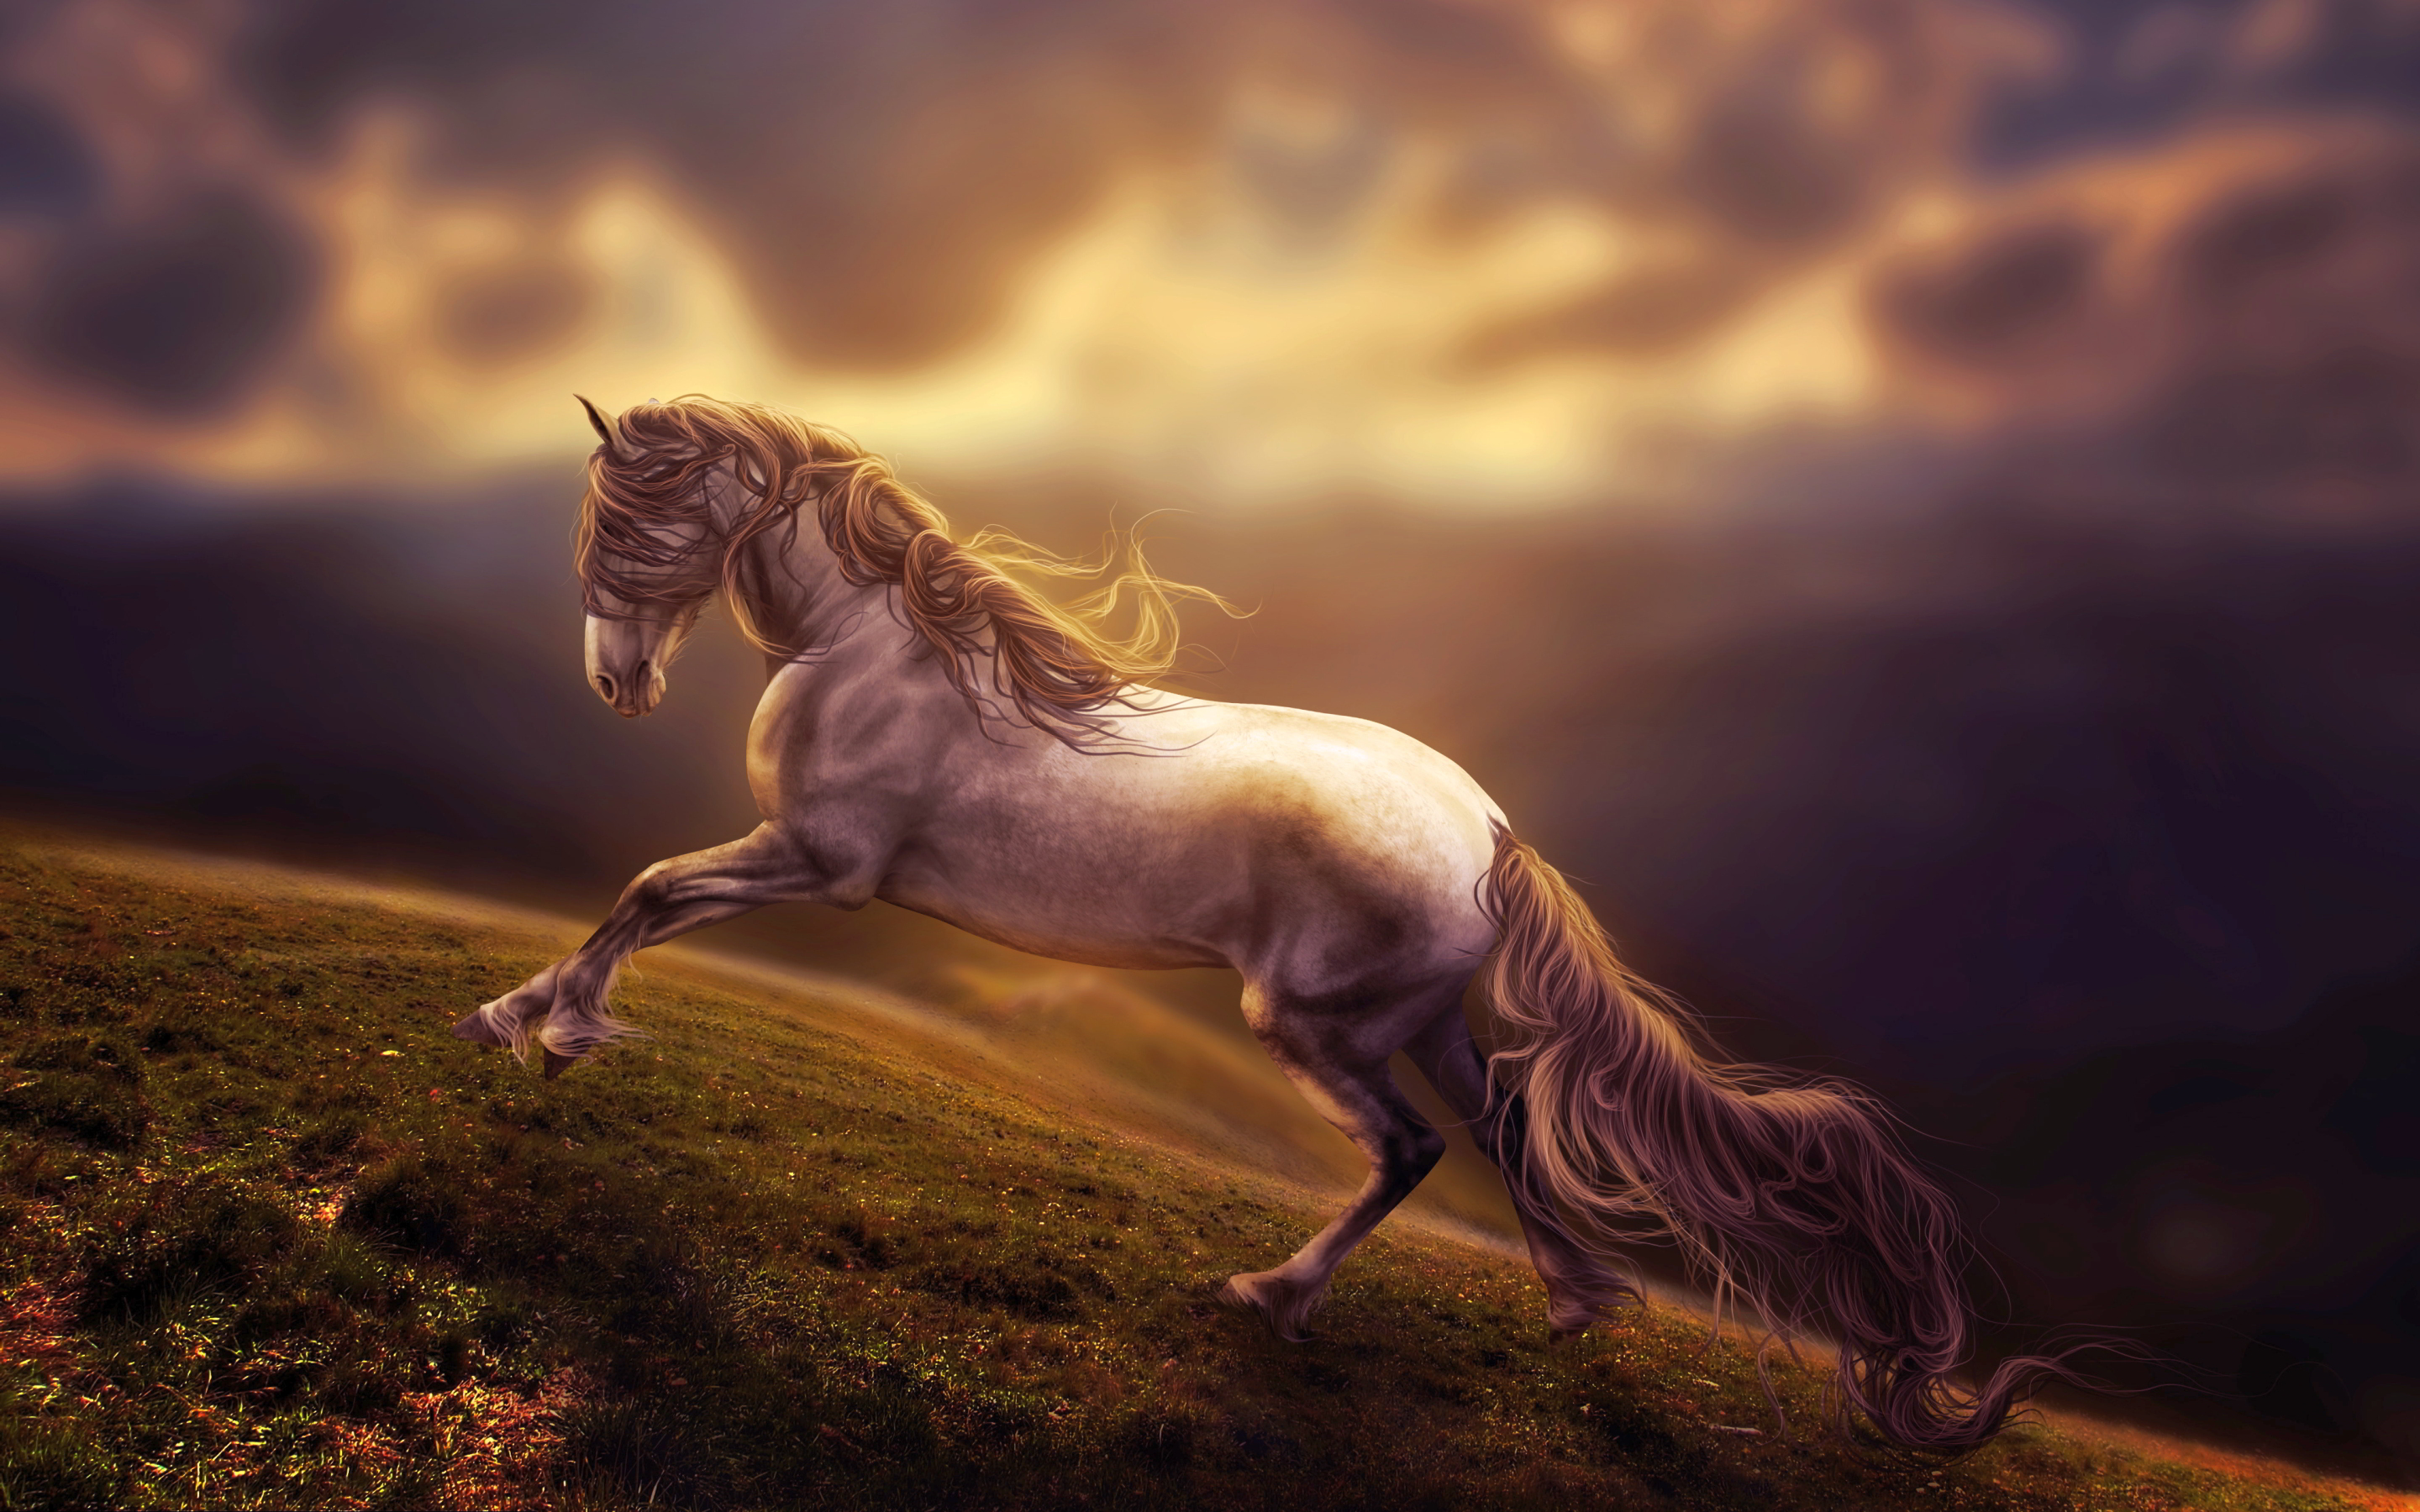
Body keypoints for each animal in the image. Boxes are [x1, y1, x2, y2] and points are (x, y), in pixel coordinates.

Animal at [450, 393, 2058, 1450]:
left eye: (639, 520)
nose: (616, 680)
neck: (879, 652)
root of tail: (1490, 834)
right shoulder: (804, 862)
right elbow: (651, 895)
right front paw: (525, 1017)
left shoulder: (816, 863)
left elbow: (651, 890)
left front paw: (542, 1025)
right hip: (1427, 1023)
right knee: (1506, 1132)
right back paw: (1576, 1308)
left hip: (1316, 1025)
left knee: (1411, 1153)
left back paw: (1272, 1295)